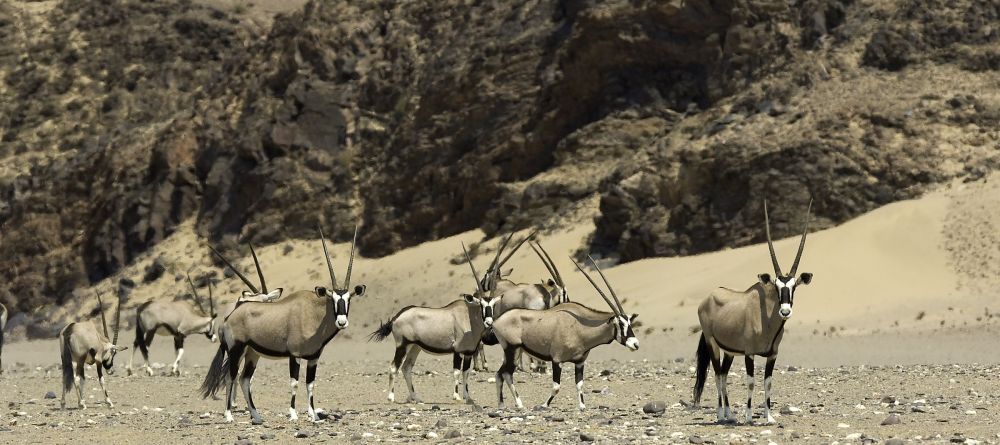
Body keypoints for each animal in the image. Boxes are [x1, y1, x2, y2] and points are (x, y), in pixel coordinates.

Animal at [200, 225, 368, 424]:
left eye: (348, 299)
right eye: (332, 299)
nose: (342, 321)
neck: (313, 313)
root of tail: (227, 319)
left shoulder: (313, 358)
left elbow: (310, 384)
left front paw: (313, 415)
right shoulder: (294, 355)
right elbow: (294, 383)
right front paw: (294, 414)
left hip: (252, 354)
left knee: (244, 379)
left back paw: (257, 416)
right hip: (236, 350)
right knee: (230, 377)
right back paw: (229, 415)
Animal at [370, 241, 498, 404]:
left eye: (493, 305)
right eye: (481, 304)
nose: (489, 322)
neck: (469, 317)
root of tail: (396, 317)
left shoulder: (468, 352)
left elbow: (466, 372)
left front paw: (467, 397)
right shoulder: (457, 350)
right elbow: (457, 372)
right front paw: (456, 396)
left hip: (415, 347)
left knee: (406, 368)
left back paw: (415, 397)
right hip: (402, 345)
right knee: (394, 367)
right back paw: (391, 397)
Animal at [492, 253, 640, 410]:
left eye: (630, 323)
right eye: (620, 324)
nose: (635, 344)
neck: (580, 327)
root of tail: (496, 321)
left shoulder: (579, 362)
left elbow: (579, 384)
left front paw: (582, 406)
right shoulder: (557, 360)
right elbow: (556, 386)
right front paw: (544, 404)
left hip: (514, 351)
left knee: (499, 374)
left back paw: (501, 404)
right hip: (511, 349)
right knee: (507, 374)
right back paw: (519, 404)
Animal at [692, 200, 816, 424]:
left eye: (794, 287)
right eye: (776, 286)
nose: (785, 311)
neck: (766, 319)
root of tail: (709, 297)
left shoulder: (772, 355)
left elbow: (768, 383)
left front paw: (769, 417)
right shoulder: (749, 353)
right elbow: (750, 382)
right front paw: (749, 416)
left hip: (729, 351)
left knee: (724, 374)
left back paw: (730, 414)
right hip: (712, 343)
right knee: (717, 375)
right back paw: (720, 414)